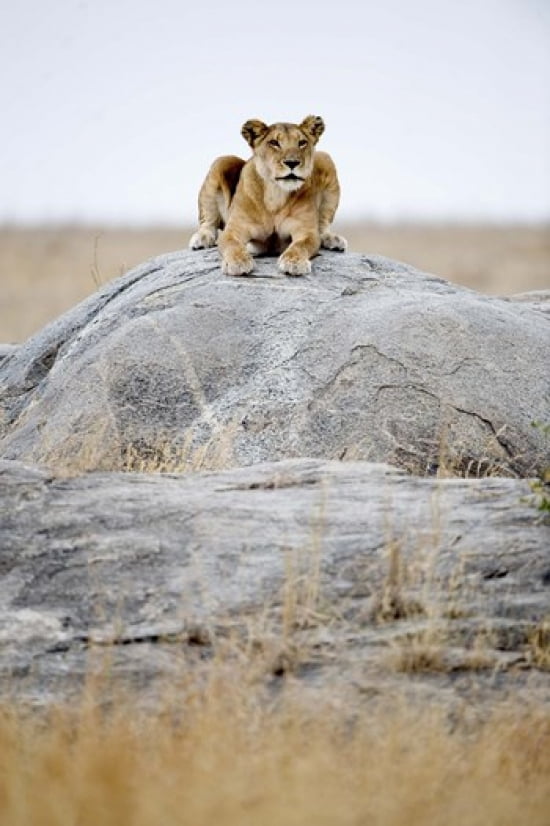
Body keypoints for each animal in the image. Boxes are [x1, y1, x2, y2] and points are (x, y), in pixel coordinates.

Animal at [189, 115, 347, 276]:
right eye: (274, 143)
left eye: (302, 143)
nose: (292, 162)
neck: (275, 194)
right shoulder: (233, 229)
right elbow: (232, 243)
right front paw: (238, 262)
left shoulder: (306, 231)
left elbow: (301, 245)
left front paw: (294, 262)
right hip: (222, 161)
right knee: (208, 222)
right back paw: (201, 239)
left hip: (325, 158)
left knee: (323, 225)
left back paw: (333, 240)